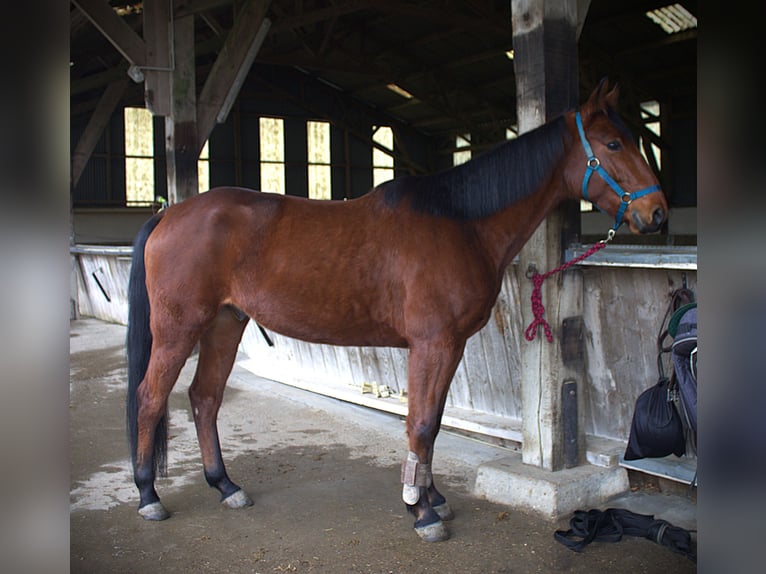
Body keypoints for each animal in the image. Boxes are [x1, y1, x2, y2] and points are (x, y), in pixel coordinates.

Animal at [124, 81, 664, 544]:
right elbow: (420, 425)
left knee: (204, 398)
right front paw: (421, 512)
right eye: (613, 144)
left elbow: (434, 421)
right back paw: (149, 495)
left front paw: (433, 497)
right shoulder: (432, 343)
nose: (657, 212)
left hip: (224, 323)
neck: (459, 221)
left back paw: (225, 486)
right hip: (178, 329)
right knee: (151, 397)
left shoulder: (451, 346)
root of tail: (168, 213)